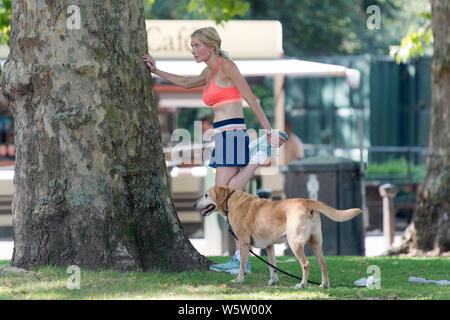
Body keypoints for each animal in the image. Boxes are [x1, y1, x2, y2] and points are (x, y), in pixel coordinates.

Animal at [193, 185, 362, 288]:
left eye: (206, 195)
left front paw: (239, 279)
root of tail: (306, 201)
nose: (194, 205)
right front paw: (273, 280)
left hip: (295, 243)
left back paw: (302, 284)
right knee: (323, 263)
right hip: (315, 243)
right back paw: (324, 285)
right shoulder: (269, 245)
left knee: (306, 264)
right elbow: (272, 266)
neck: (231, 201)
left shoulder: (244, 242)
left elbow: (242, 265)